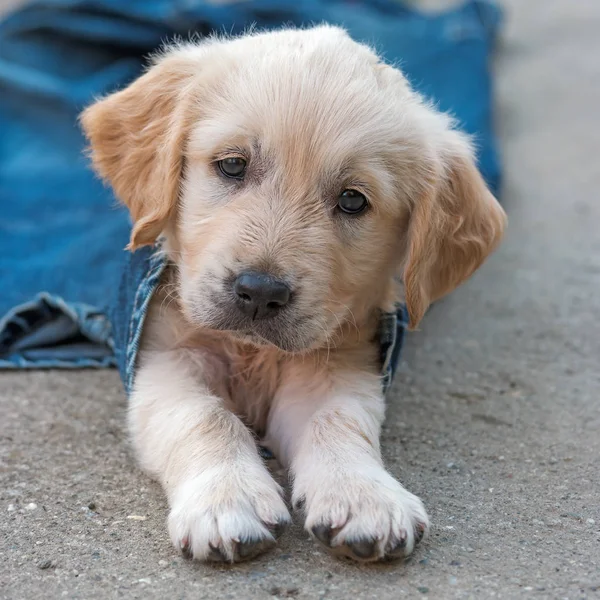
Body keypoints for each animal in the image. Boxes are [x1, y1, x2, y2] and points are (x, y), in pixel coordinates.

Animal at [81, 25, 506, 564]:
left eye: (352, 200)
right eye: (232, 165)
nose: (260, 292)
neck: (253, 353)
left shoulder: (338, 365)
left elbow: (337, 420)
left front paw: (364, 495)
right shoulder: (163, 360)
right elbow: (205, 417)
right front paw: (227, 497)